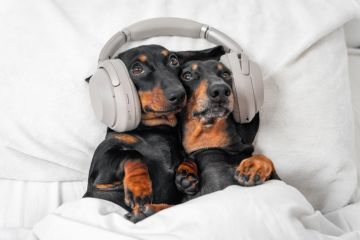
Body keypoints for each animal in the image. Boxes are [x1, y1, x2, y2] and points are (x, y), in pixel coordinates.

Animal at [84, 44, 225, 222]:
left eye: (173, 60)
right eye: (137, 69)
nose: (179, 94)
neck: (156, 129)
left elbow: (188, 159)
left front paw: (186, 175)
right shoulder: (100, 174)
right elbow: (133, 154)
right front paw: (139, 187)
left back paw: (147, 211)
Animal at [174, 58, 278, 199]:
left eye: (226, 74)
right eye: (187, 75)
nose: (220, 90)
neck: (208, 140)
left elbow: (263, 158)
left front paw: (253, 166)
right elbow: (188, 160)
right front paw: (186, 172)